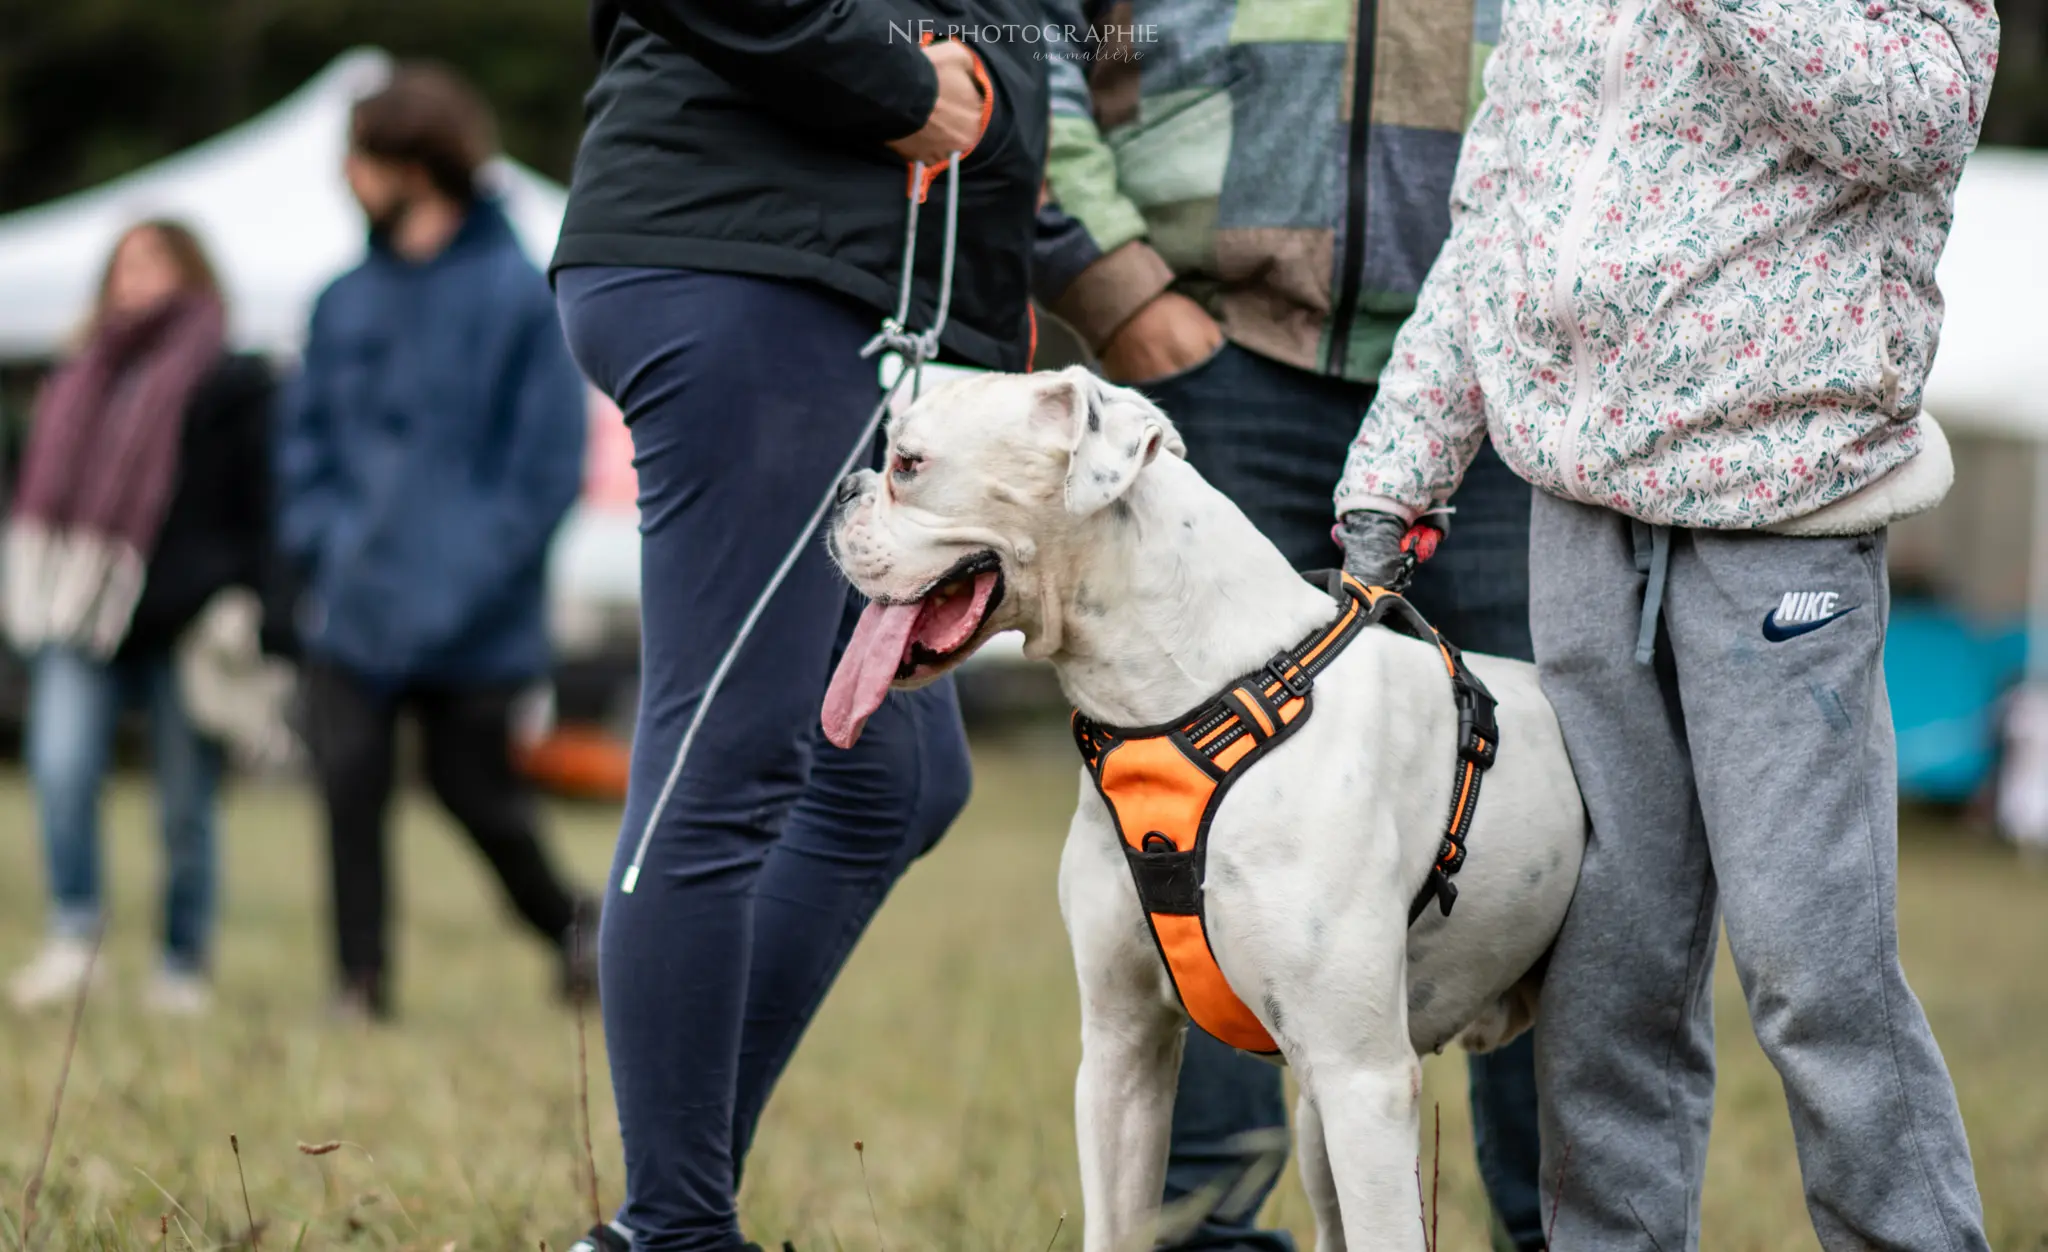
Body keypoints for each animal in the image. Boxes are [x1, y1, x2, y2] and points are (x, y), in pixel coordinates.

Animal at [823, 366, 1589, 1245]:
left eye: (908, 464)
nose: (842, 490)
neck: (1192, 705)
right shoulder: (1123, 1052)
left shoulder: (1364, 1078)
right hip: (1315, 1122)